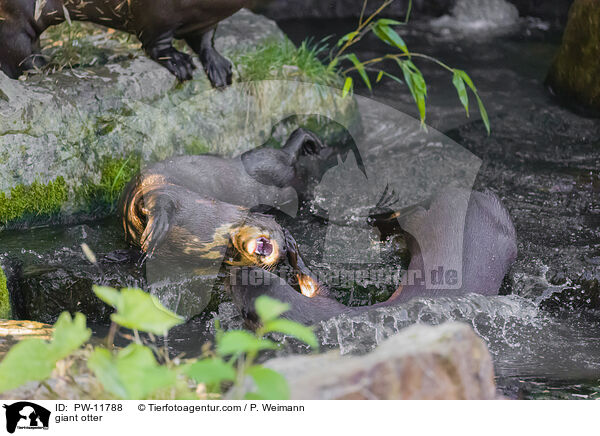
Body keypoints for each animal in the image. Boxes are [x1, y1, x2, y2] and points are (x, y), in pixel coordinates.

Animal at [0, 0, 248, 85]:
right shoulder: (158, 15)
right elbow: (156, 43)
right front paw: (179, 62)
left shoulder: (206, 20)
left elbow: (206, 40)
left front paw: (219, 67)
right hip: (16, 18)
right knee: (18, 54)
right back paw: (48, 68)